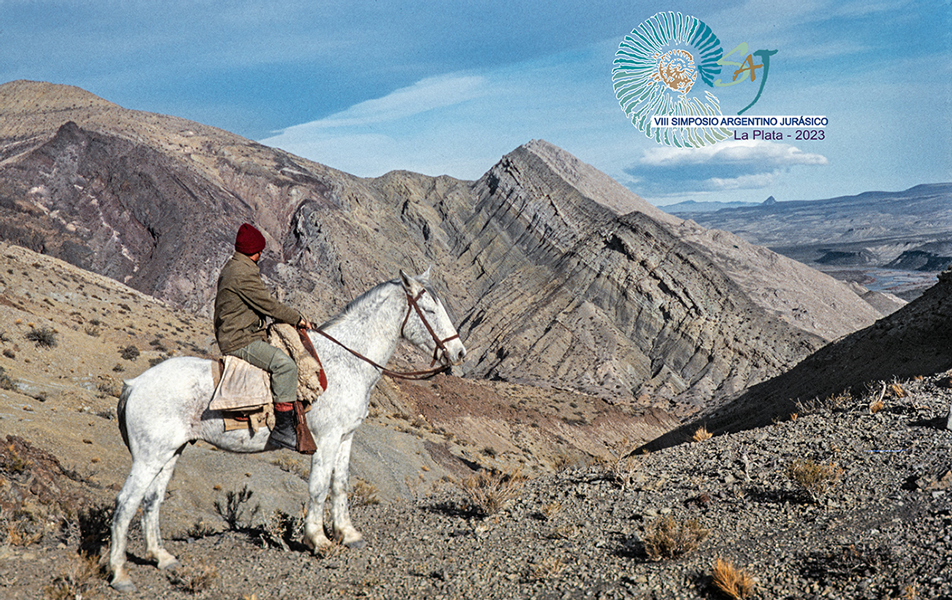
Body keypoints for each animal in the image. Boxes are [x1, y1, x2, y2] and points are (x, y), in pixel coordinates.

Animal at [109, 270, 466, 592]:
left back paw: (162, 557)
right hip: (149, 457)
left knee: (152, 500)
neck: (344, 361)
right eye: (430, 310)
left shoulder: (346, 438)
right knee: (126, 503)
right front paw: (318, 541)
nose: (460, 353)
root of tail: (134, 384)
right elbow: (319, 488)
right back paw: (120, 575)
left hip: (170, 453)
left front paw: (348, 534)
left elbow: (340, 485)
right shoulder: (326, 440)